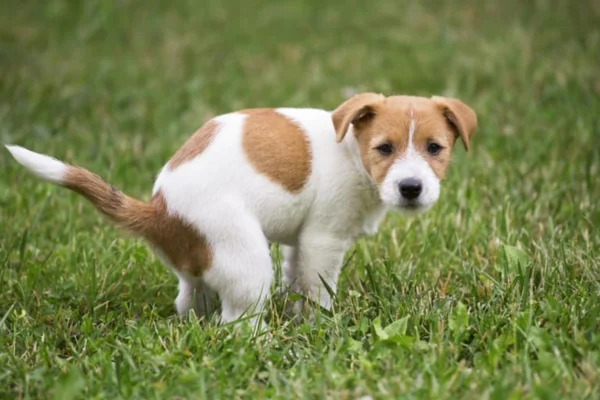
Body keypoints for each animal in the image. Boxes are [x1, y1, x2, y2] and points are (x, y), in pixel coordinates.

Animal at [4, 93, 476, 324]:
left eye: (435, 148)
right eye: (384, 148)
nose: (411, 188)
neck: (350, 151)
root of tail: (159, 210)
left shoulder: (300, 244)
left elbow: (297, 281)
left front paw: (299, 318)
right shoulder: (323, 240)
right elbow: (317, 290)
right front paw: (319, 328)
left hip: (204, 266)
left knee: (190, 302)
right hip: (247, 261)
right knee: (234, 324)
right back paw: (262, 341)